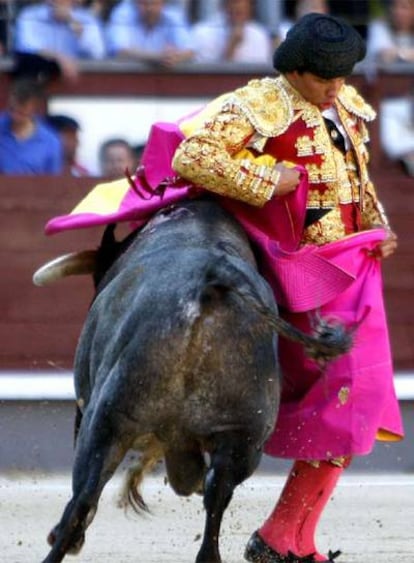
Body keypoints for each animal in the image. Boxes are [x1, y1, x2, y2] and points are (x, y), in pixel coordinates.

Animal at [38, 197, 350, 563]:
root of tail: (212, 281)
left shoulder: (89, 405)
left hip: (106, 420)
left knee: (84, 494)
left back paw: (63, 541)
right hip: (244, 434)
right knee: (217, 494)